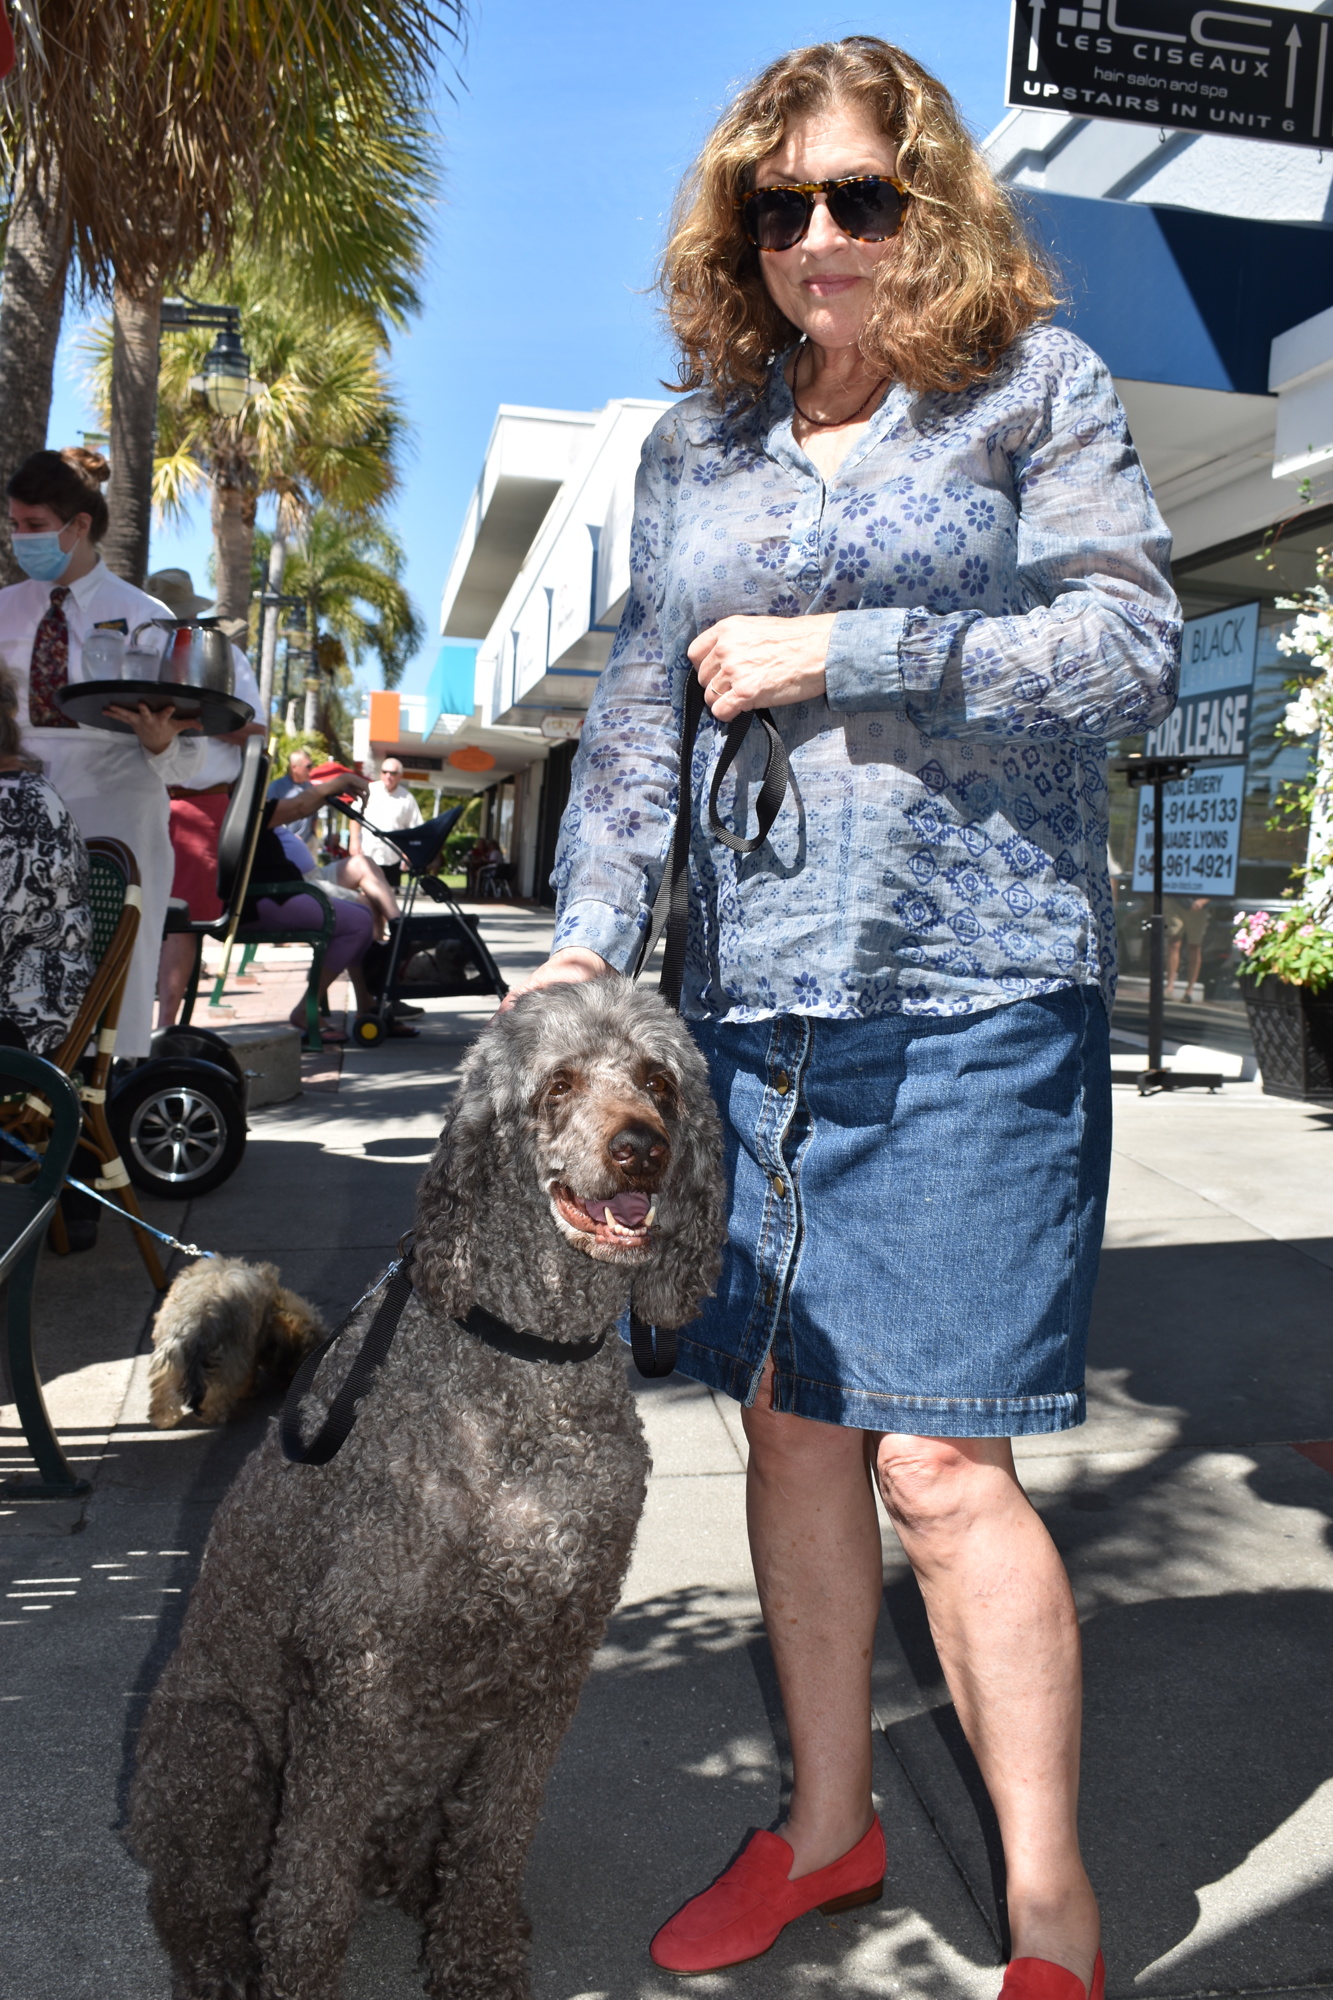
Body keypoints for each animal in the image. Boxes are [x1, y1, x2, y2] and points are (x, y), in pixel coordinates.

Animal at [147, 1256, 326, 1432]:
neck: (276, 1306)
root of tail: (197, 1319)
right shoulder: (252, 1344)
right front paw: (249, 1390)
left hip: (172, 1354)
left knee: (165, 1385)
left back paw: (162, 1418)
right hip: (229, 1356)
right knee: (219, 1391)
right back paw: (213, 1415)